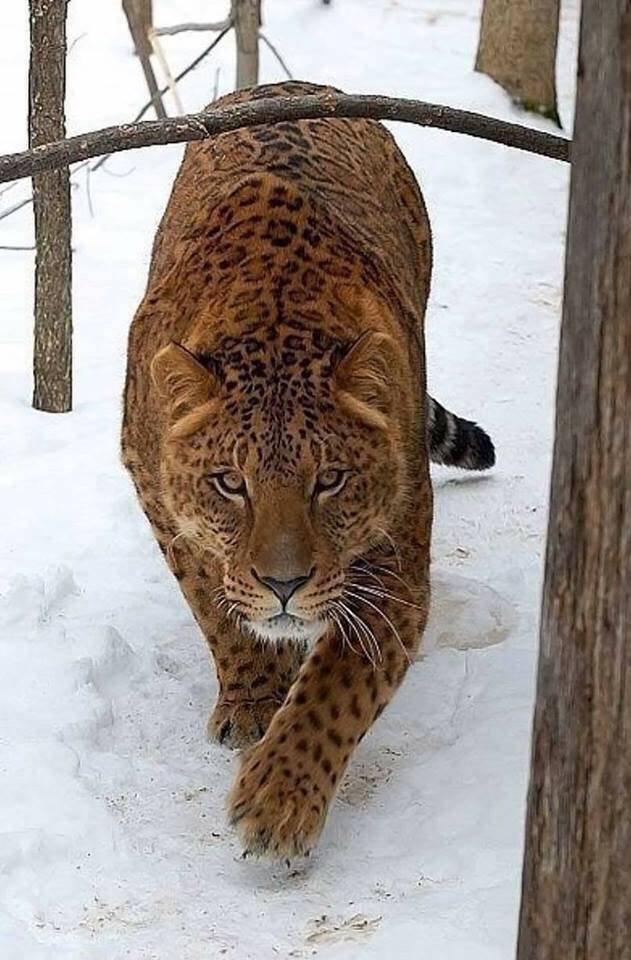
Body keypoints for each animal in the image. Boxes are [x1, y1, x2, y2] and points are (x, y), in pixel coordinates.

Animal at [122, 82, 494, 860]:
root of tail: (296, 86)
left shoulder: (393, 560)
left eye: (331, 481)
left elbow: (339, 686)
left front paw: (279, 799)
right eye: (229, 484)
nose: (285, 585)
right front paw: (256, 698)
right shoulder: (154, 488)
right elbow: (215, 603)